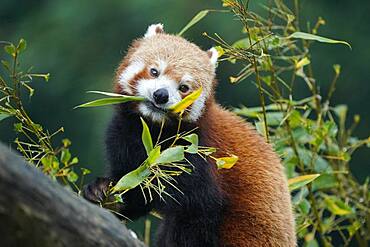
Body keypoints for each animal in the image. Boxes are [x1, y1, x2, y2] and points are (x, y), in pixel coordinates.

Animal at [82, 23, 296, 247]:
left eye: (184, 87)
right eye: (154, 71)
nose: (161, 95)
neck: (156, 132)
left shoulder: (196, 157)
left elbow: (196, 215)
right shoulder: (124, 137)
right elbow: (135, 187)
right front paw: (100, 191)